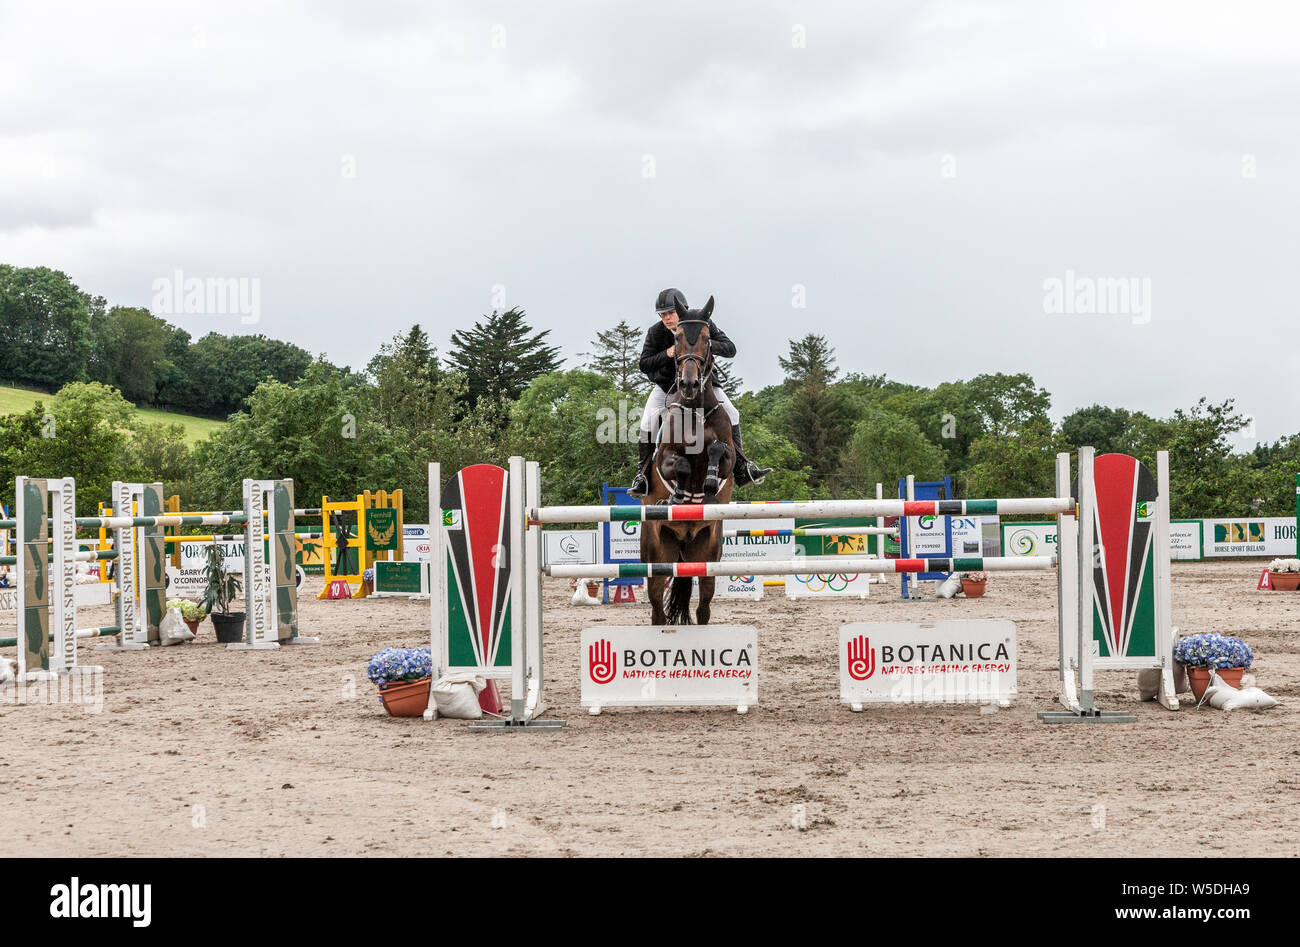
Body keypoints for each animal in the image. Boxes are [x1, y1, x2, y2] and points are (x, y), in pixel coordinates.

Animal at [642, 292, 738, 624]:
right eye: (677, 338)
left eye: (708, 338)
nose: (688, 384)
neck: (695, 407)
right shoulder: (664, 458)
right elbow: (681, 464)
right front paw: (679, 494)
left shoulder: (729, 459)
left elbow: (718, 452)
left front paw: (707, 488)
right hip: (657, 554)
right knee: (657, 608)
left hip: (706, 551)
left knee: (703, 606)